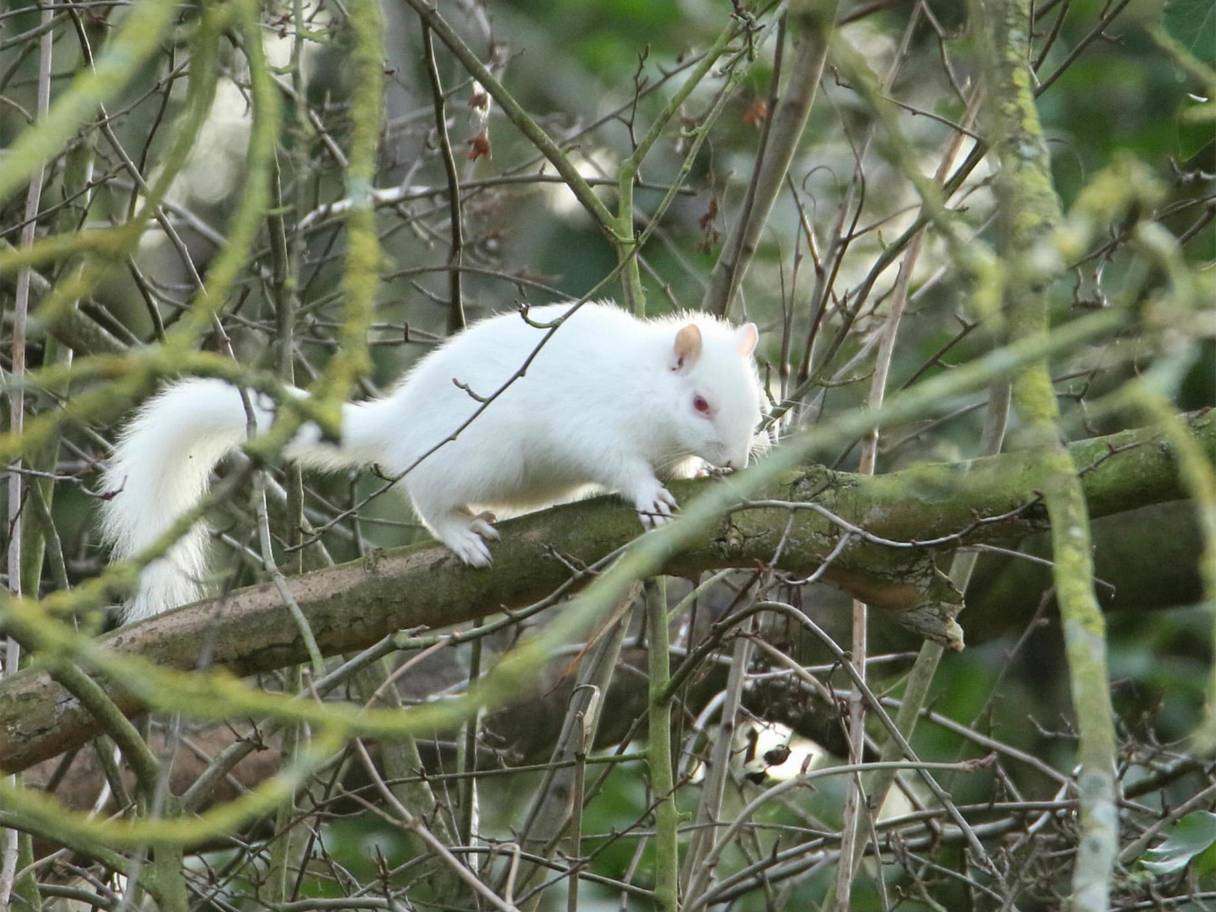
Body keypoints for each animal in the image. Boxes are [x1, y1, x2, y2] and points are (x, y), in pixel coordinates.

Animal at [107, 304, 768, 627]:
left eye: (757, 396)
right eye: (700, 403)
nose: (736, 459)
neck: (642, 385)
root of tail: (402, 425)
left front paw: (697, 475)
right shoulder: (591, 421)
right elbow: (617, 462)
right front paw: (648, 494)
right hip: (478, 456)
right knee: (427, 498)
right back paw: (460, 531)